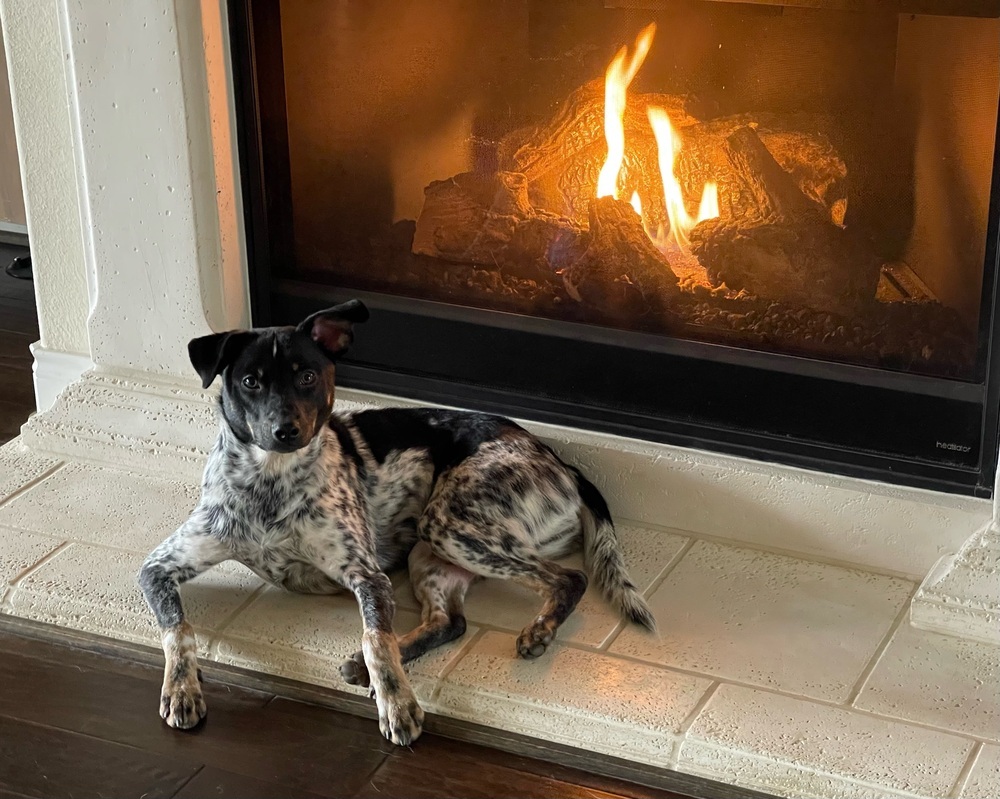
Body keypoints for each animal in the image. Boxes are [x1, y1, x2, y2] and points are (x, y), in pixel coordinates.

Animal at [139, 298, 656, 744]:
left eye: (307, 375)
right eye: (250, 381)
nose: (286, 431)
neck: (271, 482)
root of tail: (562, 463)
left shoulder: (369, 577)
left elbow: (376, 638)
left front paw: (397, 703)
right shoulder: (157, 567)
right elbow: (176, 629)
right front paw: (180, 688)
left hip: (450, 526)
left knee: (567, 578)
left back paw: (539, 630)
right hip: (432, 553)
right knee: (451, 622)